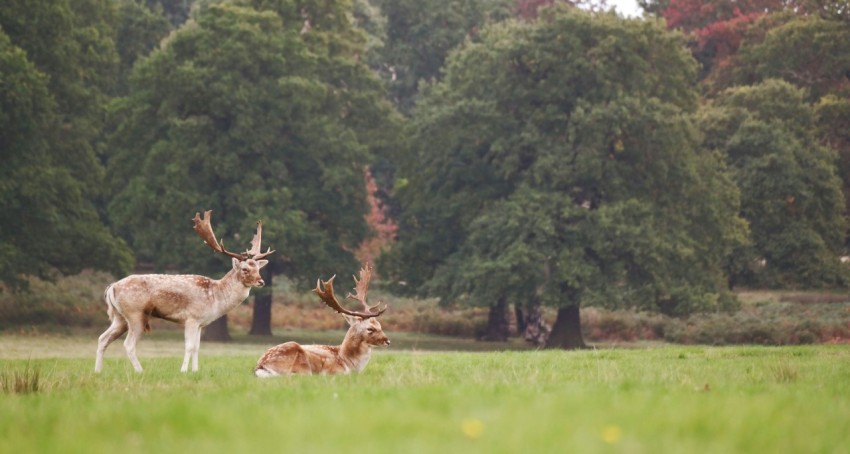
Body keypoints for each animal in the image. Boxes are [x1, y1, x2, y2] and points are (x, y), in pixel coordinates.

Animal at [95, 210, 274, 373]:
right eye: (245, 269)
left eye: (258, 268)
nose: (261, 281)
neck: (215, 297)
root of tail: (112, 287)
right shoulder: (191, 318)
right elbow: (189, 346)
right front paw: (183, 371)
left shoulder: (201, 322)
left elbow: (197, 347)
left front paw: (195, 371)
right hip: (135, 314)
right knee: (129, 344)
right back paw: (140, 371)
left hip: (120, 317)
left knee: (103, 338)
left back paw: (98, 371)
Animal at [254, 266, 389, 376]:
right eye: (370, 328)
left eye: (380, 325)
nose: (387, 341)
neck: (347, 361)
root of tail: (261, 366)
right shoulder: (333, 371)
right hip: (301, 365)